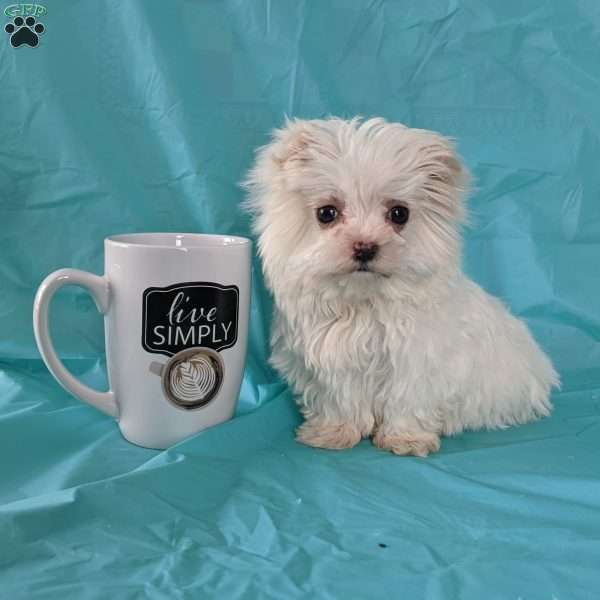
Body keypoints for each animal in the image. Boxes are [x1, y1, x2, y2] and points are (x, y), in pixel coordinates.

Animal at [243, 116, 556, 454]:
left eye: (399, 213)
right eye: (327, 213)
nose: (365, 247)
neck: (364, 305)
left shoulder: (416, 362)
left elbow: (408, 400)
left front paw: (405, 438)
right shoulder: (328, 366)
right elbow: (337, 400)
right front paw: (333, 432)